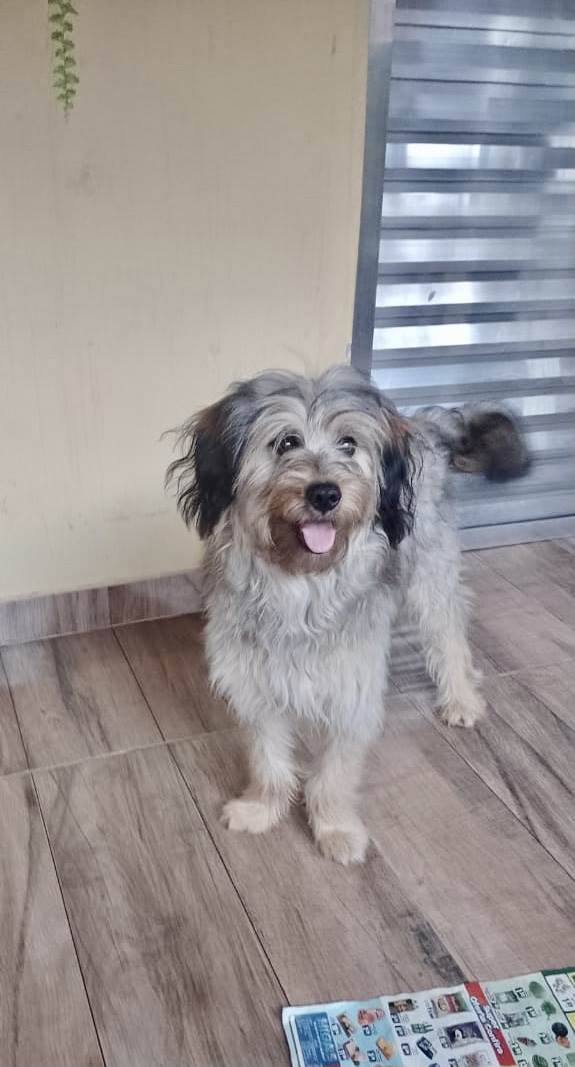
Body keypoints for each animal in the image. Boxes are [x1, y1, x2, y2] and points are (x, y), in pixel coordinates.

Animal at [167, 365, 529, 865]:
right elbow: (268, 759)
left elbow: (334, 774)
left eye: (349, 445)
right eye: (286, 442)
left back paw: (461, 696)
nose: (325, 494)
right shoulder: (254, 682)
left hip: (430, 574)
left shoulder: (352, 691)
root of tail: (423, 424)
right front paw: (262, 808)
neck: (301, 585)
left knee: (449, 632)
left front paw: (336, 828)